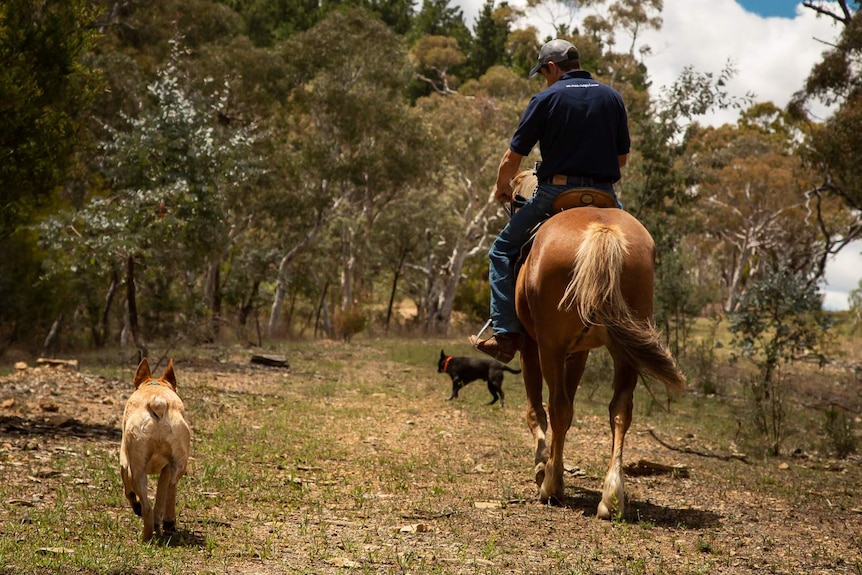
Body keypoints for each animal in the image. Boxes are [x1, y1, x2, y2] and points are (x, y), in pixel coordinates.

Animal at [119, 358, 190, 544]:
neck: (154, 385)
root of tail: (158, 402)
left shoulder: (124, 462)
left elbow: (128, 491)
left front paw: (135, 506)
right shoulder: (164, 470)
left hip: (137, 470)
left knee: (149, 505)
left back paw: (148, 534)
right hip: (175, 465)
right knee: (167, 492)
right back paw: (164, 524)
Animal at [512, 170, 680, 516]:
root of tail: (603, 231)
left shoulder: (531, 344)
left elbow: (537, 409)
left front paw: (542, 464)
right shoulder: (580, 352)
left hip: (550, 345)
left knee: (558, 406)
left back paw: (552, 487)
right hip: (625, 346)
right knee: (620, 409)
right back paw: (612, 497)